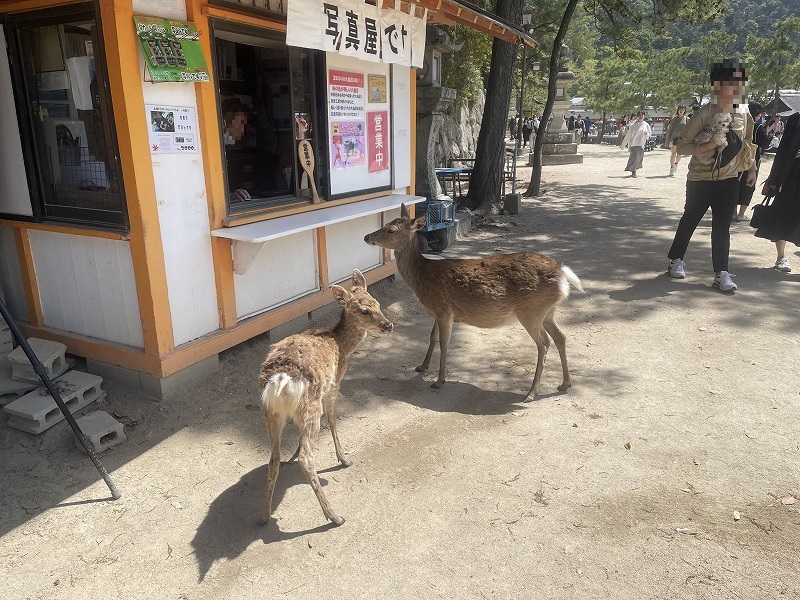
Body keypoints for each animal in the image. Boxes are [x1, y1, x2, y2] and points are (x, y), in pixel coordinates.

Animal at [256, 268, 394, 524]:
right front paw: (344, 458)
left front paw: (294, 452)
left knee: (273, 458)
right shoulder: (333, 385)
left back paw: (265, 515)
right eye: (364, 310)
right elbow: (333, 420)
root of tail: (281, 379)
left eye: (377, 303)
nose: (389, 324)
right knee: (307, 458)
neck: (342, 346)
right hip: (310, 405)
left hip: (271, 412)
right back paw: (334, 515)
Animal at [366, 203, 584, 404]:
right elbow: (432, 337)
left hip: (531, 310)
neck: (422, 276)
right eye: (385, 223)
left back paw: (531, 393)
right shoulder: (438, 311)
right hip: (548, 311)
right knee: (561, 337)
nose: (367, 237)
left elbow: (444, 342)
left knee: (544, 343)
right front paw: (422, 366)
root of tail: (563, 274)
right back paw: (565, 383)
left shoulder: (444, 309)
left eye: (391, 230)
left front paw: (439, 380)